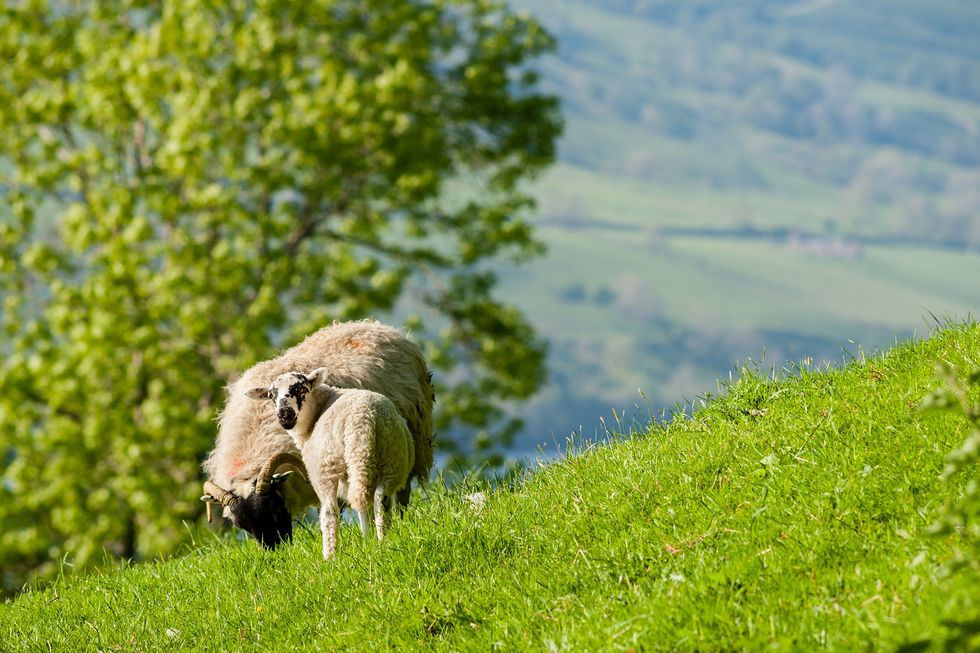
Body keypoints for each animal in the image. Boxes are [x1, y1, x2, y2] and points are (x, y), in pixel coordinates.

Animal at [247, 370, 416, 556]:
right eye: (271, 396)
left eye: (301, 389)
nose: (285, 415)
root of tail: (367, 420)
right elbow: (364, 511)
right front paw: (367, 540)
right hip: (392, 460)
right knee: (380, 498)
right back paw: (383, 541)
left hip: (331, 468)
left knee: (330, 511)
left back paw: (329, 556)